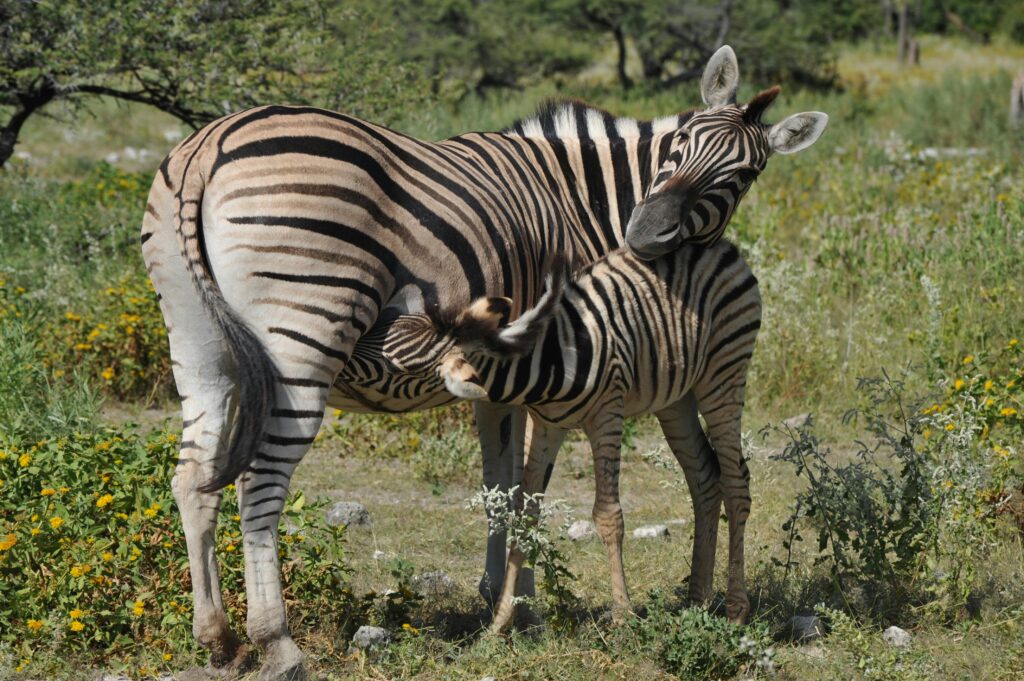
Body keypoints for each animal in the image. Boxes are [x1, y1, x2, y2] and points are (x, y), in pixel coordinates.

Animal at [436, 237, 762, 632]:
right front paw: (499, 622)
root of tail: (722, 245)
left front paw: (622, 616)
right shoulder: (546, 426)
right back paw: (697, 601)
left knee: (736, 483)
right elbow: (525, 515)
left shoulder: (607, 413)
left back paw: (735, 608)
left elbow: (608, 515)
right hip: (676, 399)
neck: (546, 364)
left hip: (724, 373)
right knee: (705, 480)